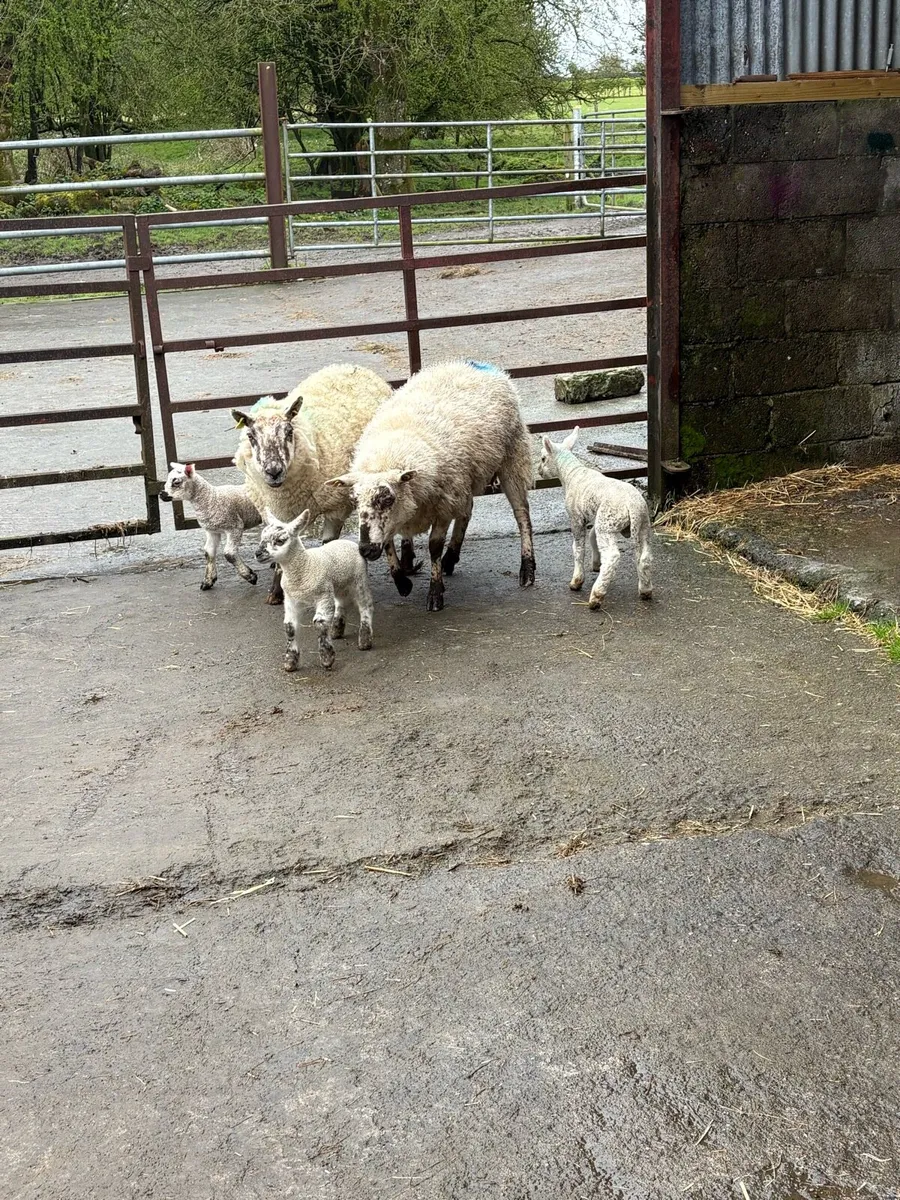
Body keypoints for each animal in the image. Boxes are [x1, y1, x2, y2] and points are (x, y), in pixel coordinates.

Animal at [160, 462, 261, 591]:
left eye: (176, 482)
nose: (161, 494)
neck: (210, 498)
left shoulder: (235, 526)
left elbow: (229, 554)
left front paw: (250, 576)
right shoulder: (212, 531)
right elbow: (208, 552)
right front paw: (208, 581)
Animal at [231, 363, 397, 605]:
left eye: (289, 432)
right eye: (251, 436)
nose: (273, 471)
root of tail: (348, 365)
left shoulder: (337, 507)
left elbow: (328, 545)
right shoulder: (275, 510)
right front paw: (275, 591)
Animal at [255, 509, 374, 672]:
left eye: (280, 540)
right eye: (262, 538)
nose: (258, 554)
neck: (305, 566)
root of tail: (348, 542)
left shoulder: (323, 595)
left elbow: (319, 623)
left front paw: (327, 658)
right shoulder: (291, 599)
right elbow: (289, 627)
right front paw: (290, 661)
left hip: (359, 579)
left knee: (365, 605)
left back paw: (364, 640)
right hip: (337, 584)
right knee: (341, 602)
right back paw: (336, 629)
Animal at [325, 360, 535, 611]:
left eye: (387, 498)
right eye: (354, 501)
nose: (365, 550)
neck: (389, 455)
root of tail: (473, 364)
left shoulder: (442, 506)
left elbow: (434, 546)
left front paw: (435, 594)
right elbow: (388, 544)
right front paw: (402, 582)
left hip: (513, 456)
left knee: (521, 513)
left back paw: (527, 569)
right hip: (464, 479)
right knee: (467, 511)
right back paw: (451, 558)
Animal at [537, 426, 653, 607]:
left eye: (543, 458)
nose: (539, 471)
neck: (571, 474)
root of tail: (633, 506)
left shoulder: (576, 518)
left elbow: (578, 549)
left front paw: (577, 580)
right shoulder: (595, 517)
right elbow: (592, 536)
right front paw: (596, 563)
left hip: (608, 522)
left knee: (612, 556)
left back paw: (596, 596)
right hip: (641, 524)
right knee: (645, 557)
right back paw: (646, 590)